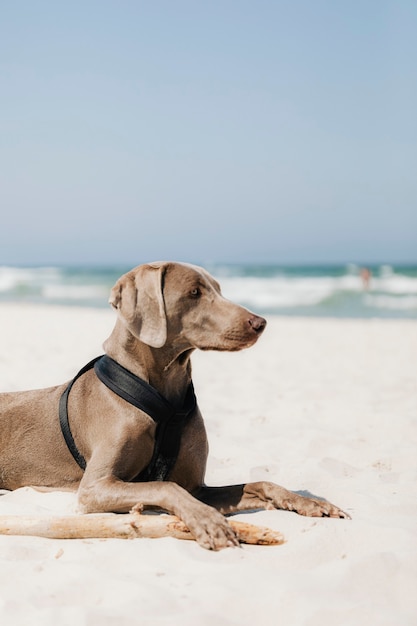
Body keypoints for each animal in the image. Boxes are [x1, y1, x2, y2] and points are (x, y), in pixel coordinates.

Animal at [0, 260, 348, 548]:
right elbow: (165, 487)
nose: (259, 322)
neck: (163, 399)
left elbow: (260, 482)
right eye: (194, 292)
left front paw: (309, 502)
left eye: (219, 289)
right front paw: (209, 523)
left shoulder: (197, 487)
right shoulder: (94, 488)